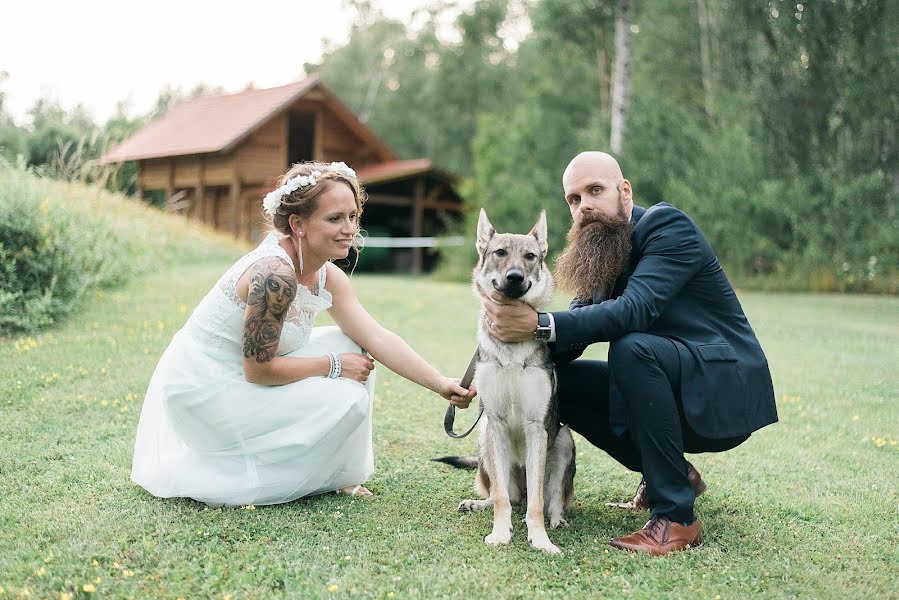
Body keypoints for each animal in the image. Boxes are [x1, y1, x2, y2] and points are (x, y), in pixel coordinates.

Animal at [436, 209, 576, 556]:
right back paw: (477, 504)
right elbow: (501, 497)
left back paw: (558, 521)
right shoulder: (496, 422)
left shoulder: (537, 426)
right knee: (507, 496)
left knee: (550, 500)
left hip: (564, 440)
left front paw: (540, 540)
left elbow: (537, 504)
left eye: (530, 256)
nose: (514, 277)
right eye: (500, 253)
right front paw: (500, 533)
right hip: (485, 438)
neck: (511, 348)